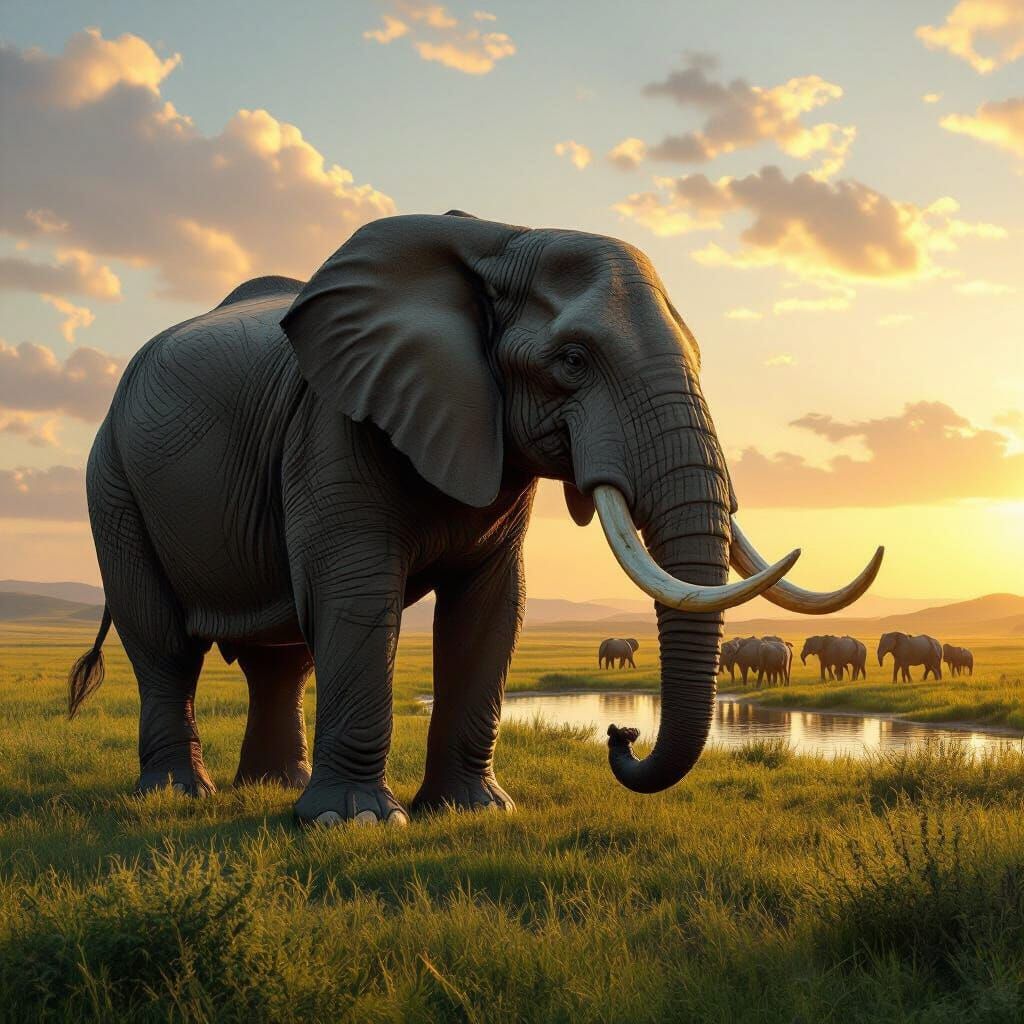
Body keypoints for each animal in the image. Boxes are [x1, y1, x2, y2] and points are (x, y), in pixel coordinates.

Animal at [67, 211, 883, 826]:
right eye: (573, 361)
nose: (620, 731)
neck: (503, 236)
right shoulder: (336, 424)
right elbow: (356, 595)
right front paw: (354, 824)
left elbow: (491, 609)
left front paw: (471, 813)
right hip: (112, 479)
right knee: (164, 642)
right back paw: (184, 797)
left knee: (283, 653)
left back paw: (271, 790)